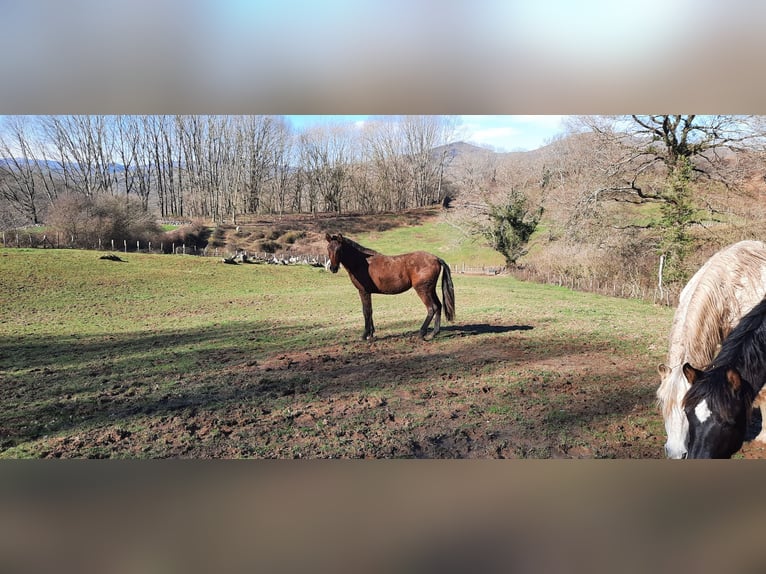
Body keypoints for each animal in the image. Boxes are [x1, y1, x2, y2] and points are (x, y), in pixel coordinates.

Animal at [325, 233, 455, 340]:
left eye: (339, 249)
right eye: (328, 248)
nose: (333, 268)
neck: (362, 262)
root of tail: (436, 258)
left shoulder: (364, 292)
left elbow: (366, 311)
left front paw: (364, 335)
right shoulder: (368, 293)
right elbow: (370, 311)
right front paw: (371, 334)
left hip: (422, 290)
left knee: (431, 308)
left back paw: (422, 333)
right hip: (431, 290)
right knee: (438, 306)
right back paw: (433, 333)